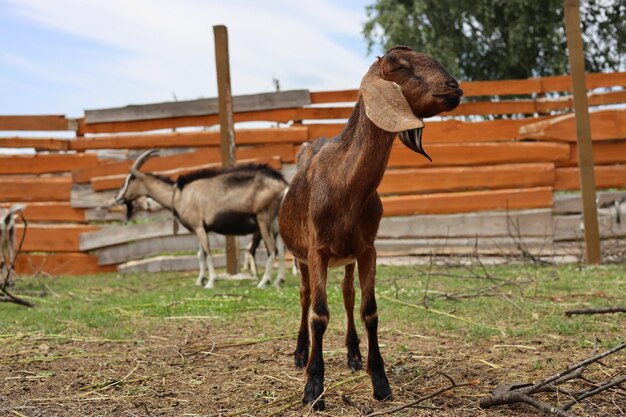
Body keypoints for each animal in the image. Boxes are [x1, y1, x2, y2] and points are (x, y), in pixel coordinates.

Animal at [115, 150, 288, 290]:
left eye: (131, 178)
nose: (117, 198)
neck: (179, 195)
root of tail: (283, 185)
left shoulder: (199, 227)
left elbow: (207, 252)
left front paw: (210, 282)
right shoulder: (199, 228)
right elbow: (200, 254)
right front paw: (200, 280)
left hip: (263, 219)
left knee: (272, 249)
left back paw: (263, 282)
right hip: (275, 223)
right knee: (281, 250)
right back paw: (278, 281)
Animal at [276, 46, 460, 410]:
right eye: (398, 66)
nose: (454, 87)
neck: (344, 185)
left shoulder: (367, 249)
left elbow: (369, 310)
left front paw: (379, 380)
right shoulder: (317, 251)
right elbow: (319, 314)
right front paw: (313, 387)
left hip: (346, 258)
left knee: (347, 295)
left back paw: (353, 354)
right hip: (300, 257)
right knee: (305, 296)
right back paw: (300, 353)